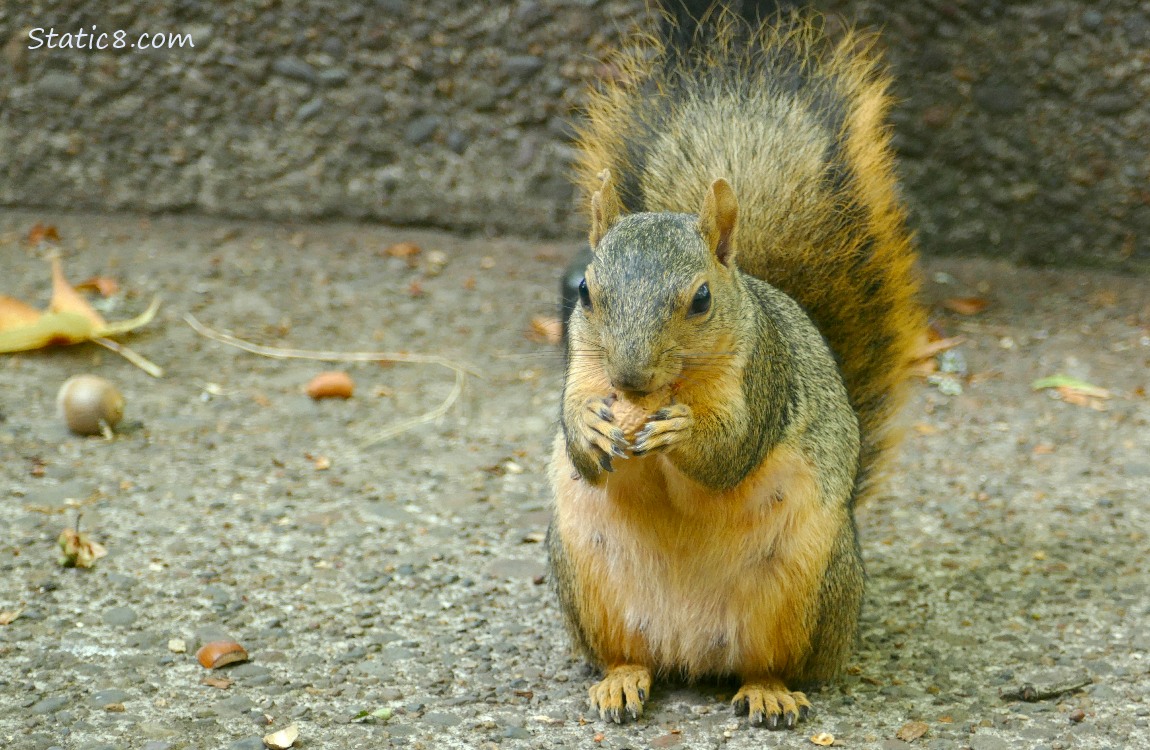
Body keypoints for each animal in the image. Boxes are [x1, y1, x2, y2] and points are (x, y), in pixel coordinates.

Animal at [546, 4, 925, 730]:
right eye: (585, 292)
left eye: (699, 299)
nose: (630, 381)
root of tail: (693, 654)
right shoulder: (582, 370)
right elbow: (582, 448)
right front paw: (590, 428)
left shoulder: (763, 380)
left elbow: (730, 454)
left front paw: (683, 430)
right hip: (587, 582)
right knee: (628, 656)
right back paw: (620, 682)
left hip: (806, 592)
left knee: (772, 663)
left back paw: (770, 692)